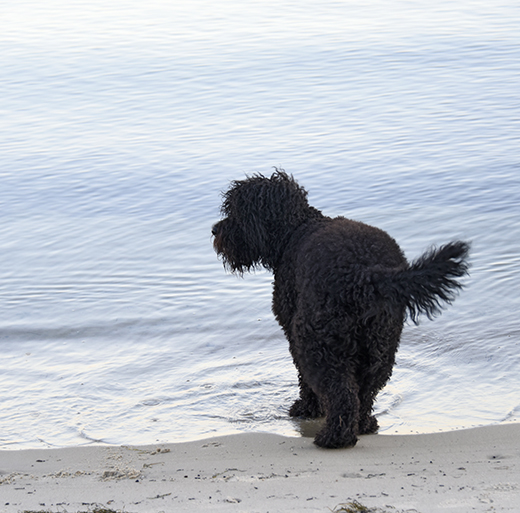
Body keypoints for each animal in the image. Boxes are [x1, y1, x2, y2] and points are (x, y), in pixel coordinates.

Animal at [211, 170, 472, 446]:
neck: (296, 230)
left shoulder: (292, 332)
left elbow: (304, 379)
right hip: (380, 346)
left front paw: (306, 409)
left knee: (341, 392)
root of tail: (365, 273)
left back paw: (334, 437)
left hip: (318, 342)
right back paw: (364, 424)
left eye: (236, 210)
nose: (215, 229)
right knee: (365, 392)